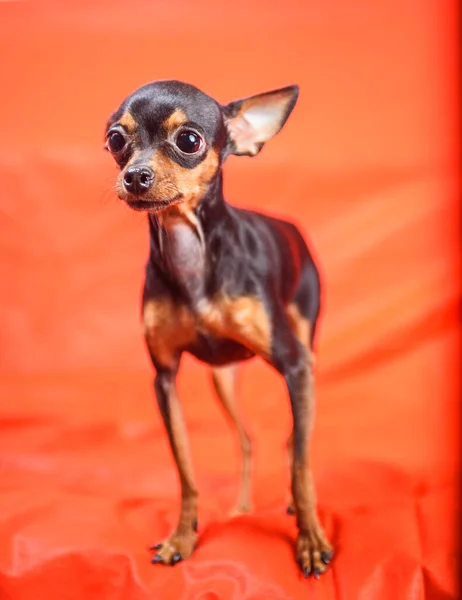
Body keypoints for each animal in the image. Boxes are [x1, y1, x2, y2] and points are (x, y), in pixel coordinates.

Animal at [105, 79, 332, 576]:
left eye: (189, 140)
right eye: (115, 140)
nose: (135, 176)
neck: (190, 250)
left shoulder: (295, 366)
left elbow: (302, 465)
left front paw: (310, 540)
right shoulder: (164, 379)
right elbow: (185, 470)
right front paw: (183, 537)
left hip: (304, 350)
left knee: (294, 440)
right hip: (223, 378)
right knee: (247, 440)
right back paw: (243, 506)